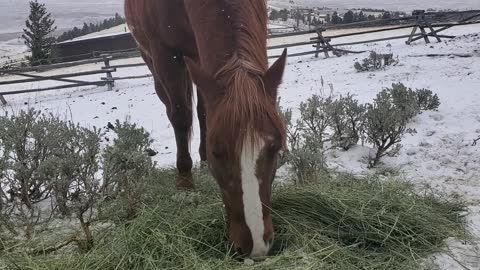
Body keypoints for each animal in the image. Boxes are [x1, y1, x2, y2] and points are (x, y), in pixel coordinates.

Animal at [125, 0, 286, 258]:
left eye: (276, 148)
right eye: (217, 152)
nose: (256, 246)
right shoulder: (165, 53)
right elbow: (181, 115)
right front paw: (185, 184)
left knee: (202, 110)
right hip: (154, 59)